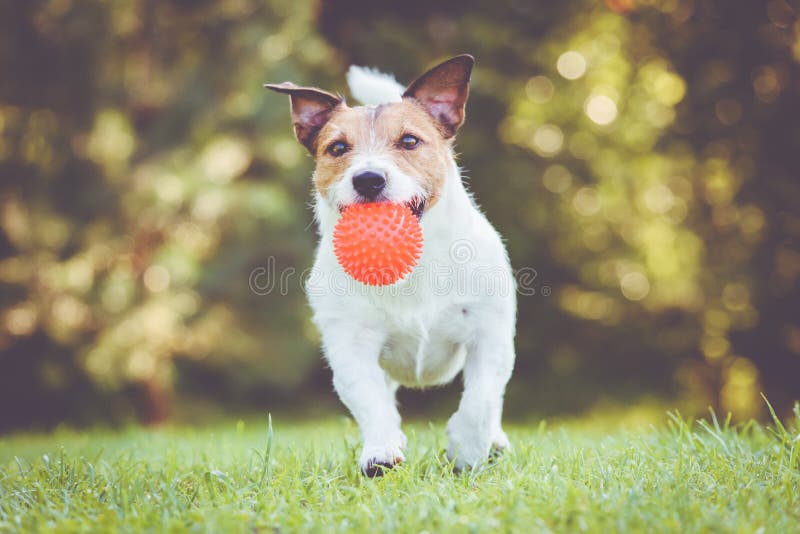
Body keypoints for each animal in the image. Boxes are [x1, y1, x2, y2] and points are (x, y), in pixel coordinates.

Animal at [268, 55, 520, 478]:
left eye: (409, 141)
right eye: (337, 147)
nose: (368, 179)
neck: (412, 267)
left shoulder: (490, 334)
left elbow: (482, 398)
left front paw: (468, 450)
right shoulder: (351, 344)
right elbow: (370, 401)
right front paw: (381, 452)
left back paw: (496, 442)